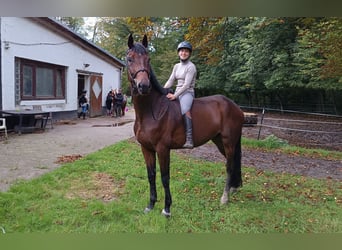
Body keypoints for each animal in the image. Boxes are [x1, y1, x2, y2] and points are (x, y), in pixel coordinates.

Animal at [127, 34, 244, 217]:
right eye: (130, 59)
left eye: (148, 59)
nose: (144, 86)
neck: (151, 111)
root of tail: (235, 106)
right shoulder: (146, 148)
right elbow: (151, 175)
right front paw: (150, 205)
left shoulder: (162, 149)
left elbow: (165, 177)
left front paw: (167, 209)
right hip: (219, 141)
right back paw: (233, 188)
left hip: (228, 141)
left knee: (229, 166)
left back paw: (224, 198)